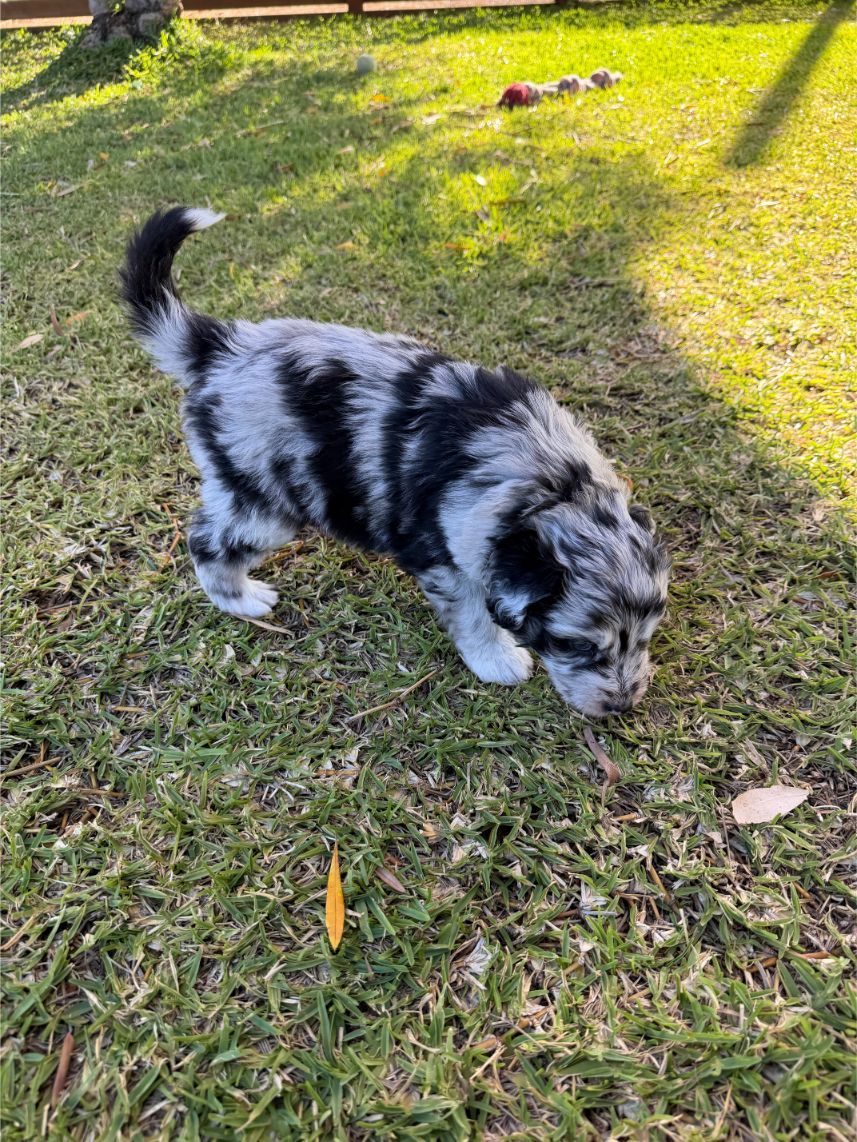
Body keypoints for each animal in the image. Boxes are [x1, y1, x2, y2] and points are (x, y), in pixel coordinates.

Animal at [121, 207, 669, 717]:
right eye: (576, 645)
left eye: (645, 638)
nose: (623, 706)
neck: (554, 485)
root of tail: (218, 346)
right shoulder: (448, 557)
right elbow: (473, 615)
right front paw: (498, 660)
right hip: (264, 499)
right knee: (206, 540)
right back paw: (243, 599)